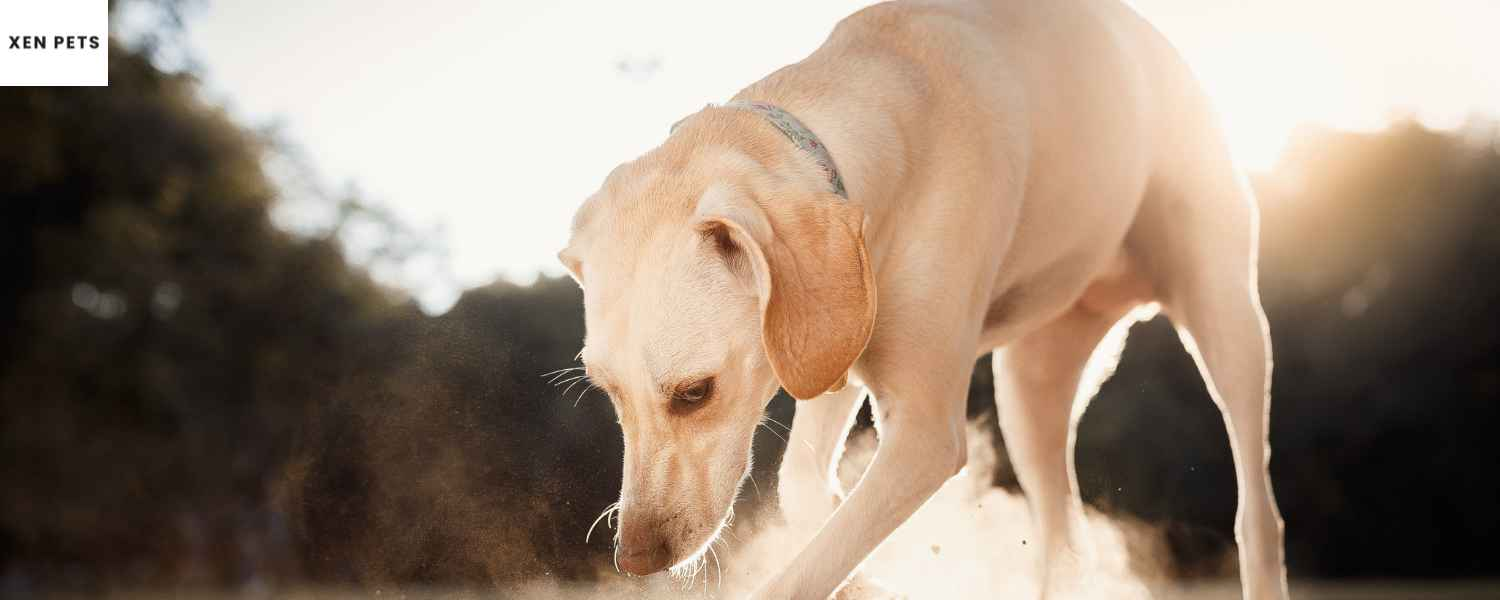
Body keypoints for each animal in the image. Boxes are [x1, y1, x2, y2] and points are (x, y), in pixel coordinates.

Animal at [564, 1, 1290, 600]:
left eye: (695, 393)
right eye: (607, 393)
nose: (634, 560)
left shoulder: (924, 433)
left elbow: (802, 570)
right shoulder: (830, 349)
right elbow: (808, 492)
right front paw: (868, 577)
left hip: (1227, 320)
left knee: (1258, 516)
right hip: (1029, 390)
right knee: (1063, 533)